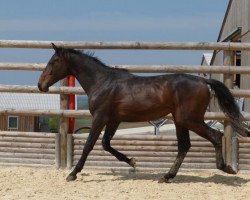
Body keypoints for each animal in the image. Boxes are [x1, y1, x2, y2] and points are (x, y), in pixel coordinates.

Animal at [38, 43, 249, 183]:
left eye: (53, 61)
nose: (41, 85)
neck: (102, 82)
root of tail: (204, 81)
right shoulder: (114, 120)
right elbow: (106, 144)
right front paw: (132, 161)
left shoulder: (100, 117)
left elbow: (89, 145)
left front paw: (72, 173)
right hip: (181, 120)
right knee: (184, 146)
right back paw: (167, 176)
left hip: (190, 119)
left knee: (215, 136)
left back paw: (226, 168)